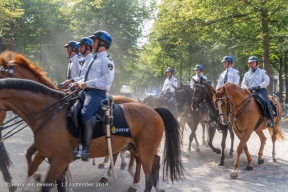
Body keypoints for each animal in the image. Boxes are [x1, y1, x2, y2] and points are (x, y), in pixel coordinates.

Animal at [0, 77, 183, 190]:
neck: (49, 113)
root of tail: (154, 110)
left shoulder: (59, 160)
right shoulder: (49, 155)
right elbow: (34, 168)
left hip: (145, 150)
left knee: (149, 175)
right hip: (136, 147)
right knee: (153, 162)